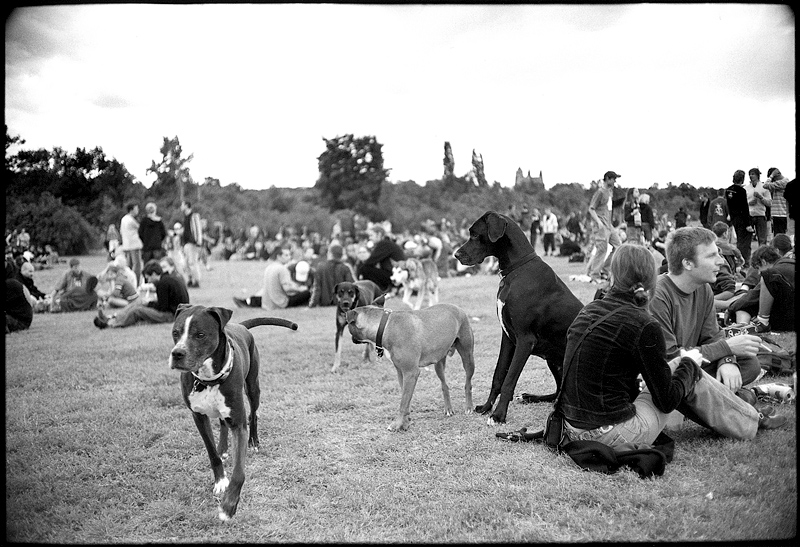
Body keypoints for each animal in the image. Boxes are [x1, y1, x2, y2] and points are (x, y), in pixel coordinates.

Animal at [346, 302, 472, 430]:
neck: (385, 325)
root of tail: (457, 307)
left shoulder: (410, 373)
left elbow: (403, 402)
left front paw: (398, 424)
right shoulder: (401, 373)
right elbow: (406, 399)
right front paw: (405, 422)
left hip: (468, 358)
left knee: (468, 383)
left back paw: (469, 407)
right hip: (439, 365)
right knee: (444, 385)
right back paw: (448, 409)